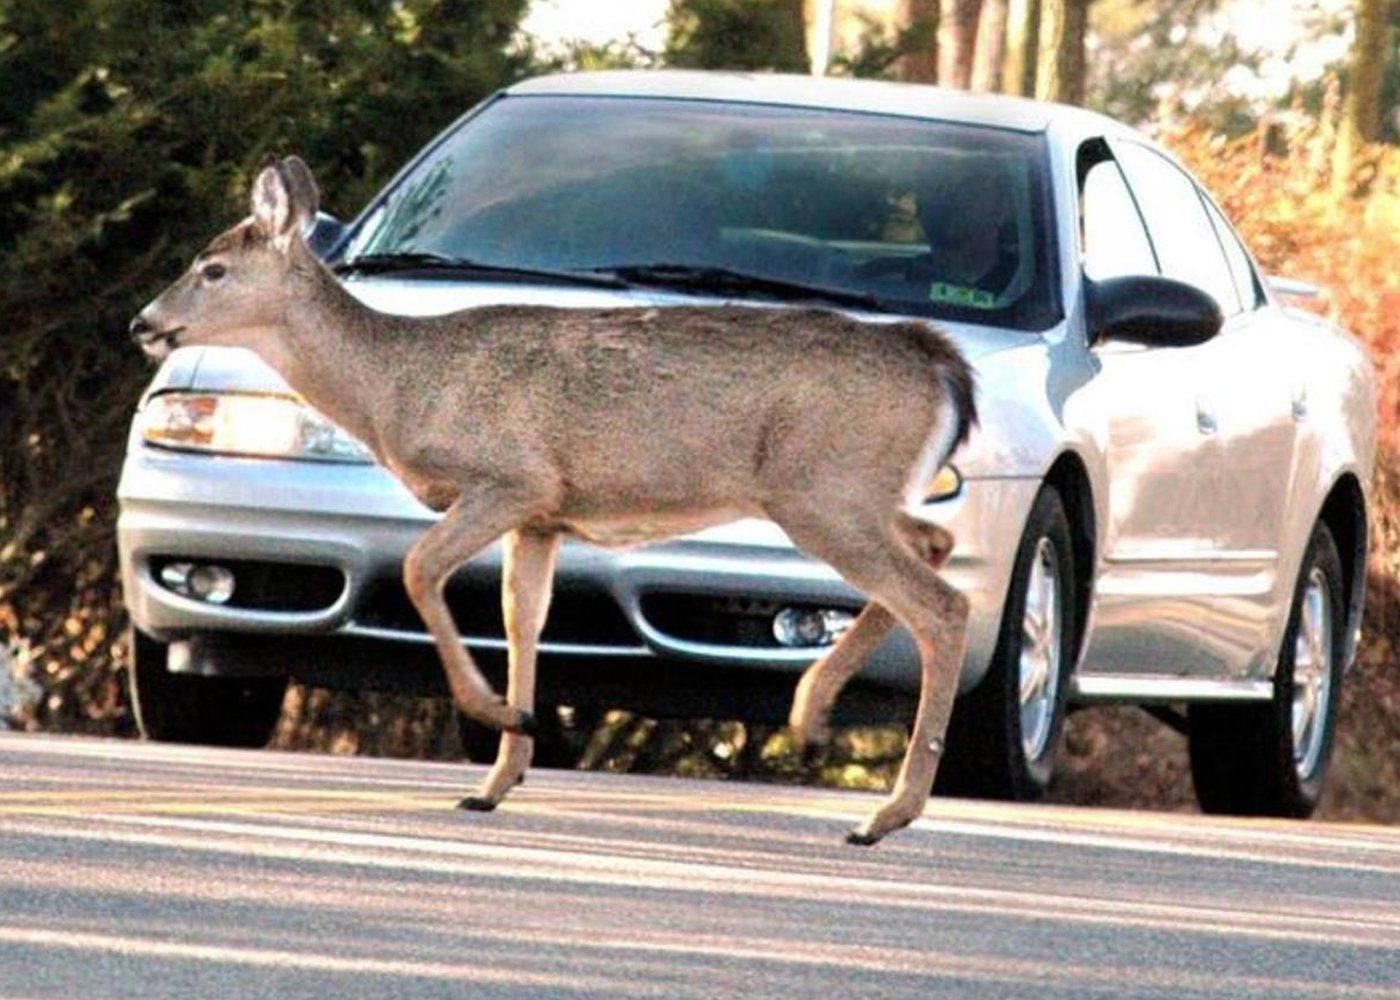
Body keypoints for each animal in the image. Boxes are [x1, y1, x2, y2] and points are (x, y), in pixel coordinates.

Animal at [129, 156, 976, 845]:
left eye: (212, 269)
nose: (144, 323)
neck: (400, 386)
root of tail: (939, 364)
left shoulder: (511, 480)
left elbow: (419, 570)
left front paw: (501, 718)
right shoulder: (542, 518)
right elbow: (521, 619)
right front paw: (497, 780)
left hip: (821, 491)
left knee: (944, 604)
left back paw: (883, 813)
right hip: (855, 494)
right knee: (934, 549)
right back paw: (812, 719)